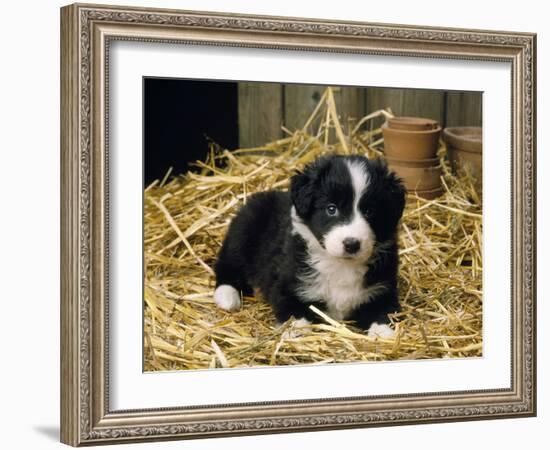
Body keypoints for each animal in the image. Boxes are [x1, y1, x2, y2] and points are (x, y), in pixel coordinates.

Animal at [213, 155, 408, 338]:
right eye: (331, 209)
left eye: (369, 211)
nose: (352, 244)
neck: (340, 265)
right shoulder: (289, 286)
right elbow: (296, 314)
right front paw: (295, 332)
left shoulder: (382, 290)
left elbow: (384, 313)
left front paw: (383, 333)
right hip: (242, 234)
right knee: (227, 266)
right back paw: (227, 297)